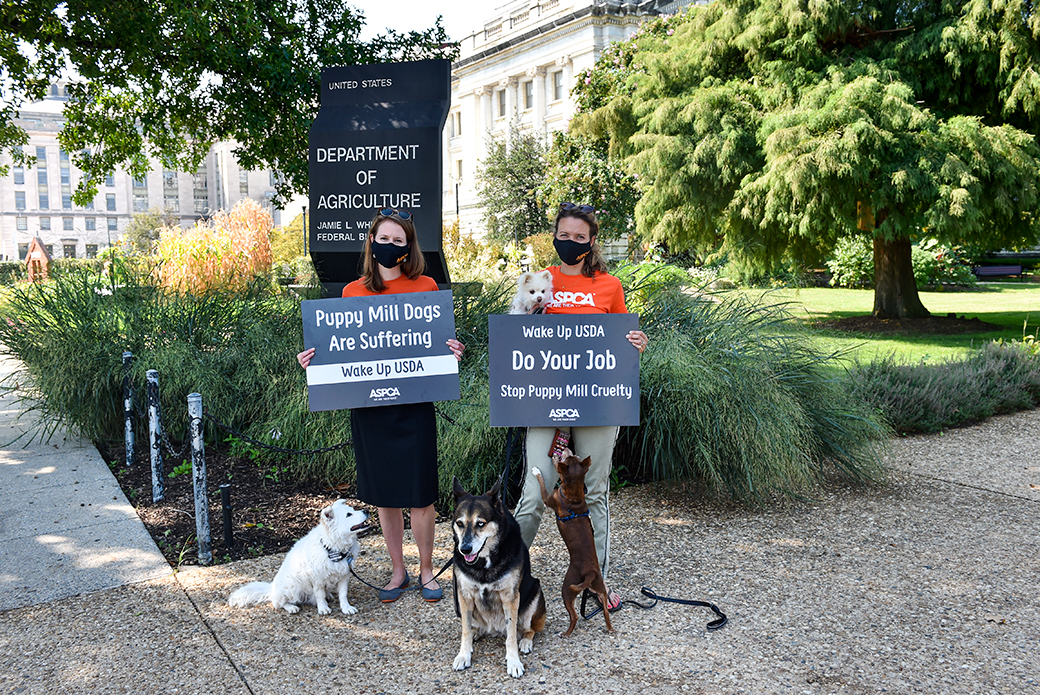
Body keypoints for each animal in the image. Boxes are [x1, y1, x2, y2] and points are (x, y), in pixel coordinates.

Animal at [228, 499, 370, 611]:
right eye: (349, 514)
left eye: (353, 509)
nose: (367, 510)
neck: (333, 548)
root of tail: (272, 588)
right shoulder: (317, 579)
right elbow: (319, 595)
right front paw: (323, 608)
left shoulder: (344, 575)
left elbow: (343, 594)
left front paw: (346, 608)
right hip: (292, 587)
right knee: (278, 603)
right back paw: (291, 607)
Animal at [451, 474, 549, 674]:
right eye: (460, 523)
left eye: (481, 524)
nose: (464, 549)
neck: (484, 563)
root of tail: (494, 629)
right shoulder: (464, 595)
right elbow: (465, 629)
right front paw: (464, 655)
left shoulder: (510, 598)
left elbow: (511, 635)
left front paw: (514, 662)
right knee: (474, 627)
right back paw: (477, 633)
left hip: (534, 595)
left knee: (529, 629)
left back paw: (525, 642)